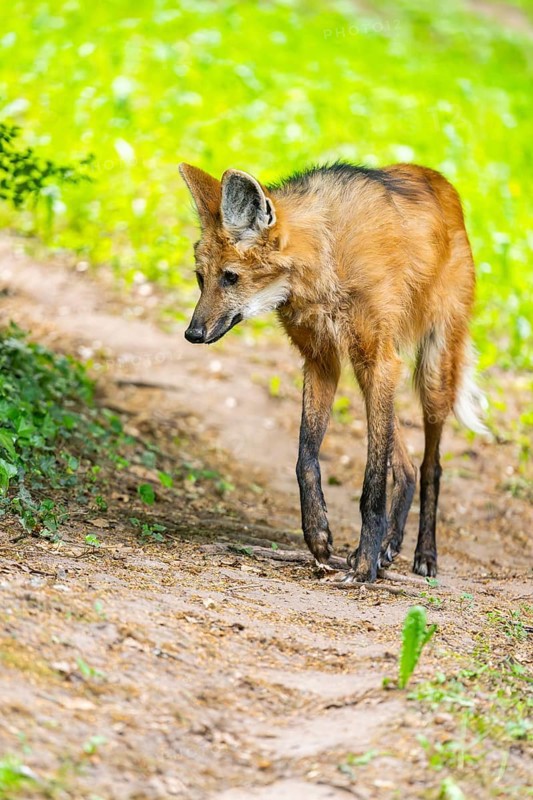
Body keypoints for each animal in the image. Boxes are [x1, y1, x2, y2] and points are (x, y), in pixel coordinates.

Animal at [179, 161, 486, 582]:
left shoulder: (377, 359)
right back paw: (391, 544)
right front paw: (320, 537)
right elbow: (305, 458)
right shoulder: (323, 361)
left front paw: (365, 563)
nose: (193, 334)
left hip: (430, 372)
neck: (326, 261)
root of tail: (440, 180)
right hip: (367, 374)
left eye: (230, 277)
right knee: (405, 466)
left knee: (430, 466)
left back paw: (424, 553)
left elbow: (373, 483)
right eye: (200, 278)